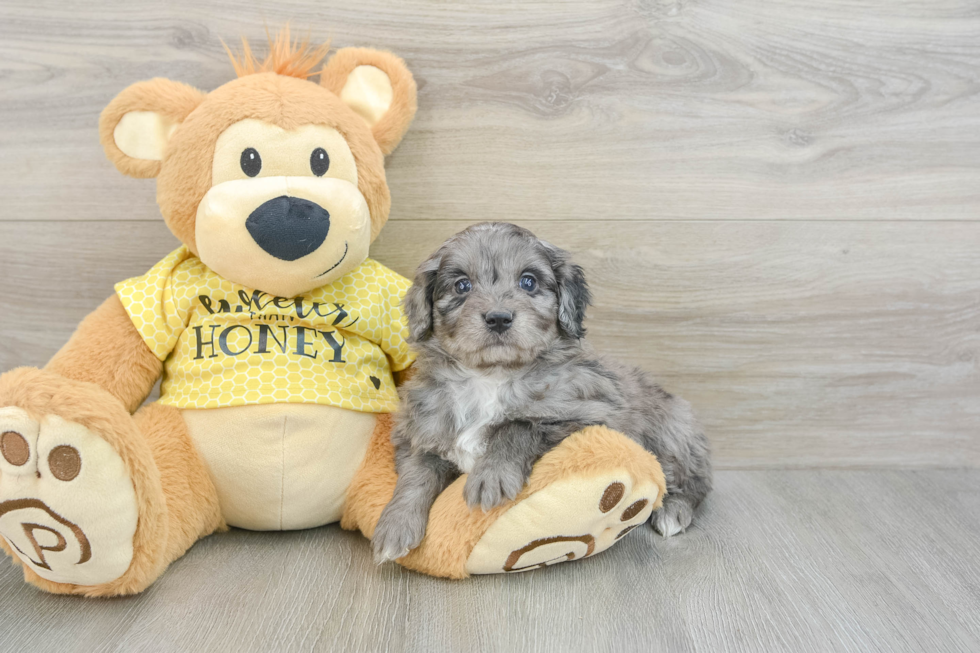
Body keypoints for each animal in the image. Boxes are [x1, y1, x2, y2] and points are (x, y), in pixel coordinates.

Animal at [376, 223, 712, 560]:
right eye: (462, 286)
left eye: (528, 282)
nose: (498, 318)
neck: (491, 377)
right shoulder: (421, 430)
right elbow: (418, 472)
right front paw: (396, 525)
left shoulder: (588, 414)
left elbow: (518, 425)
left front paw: (492, 475)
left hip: (671, 434)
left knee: (695, 482)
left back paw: (673, 512)